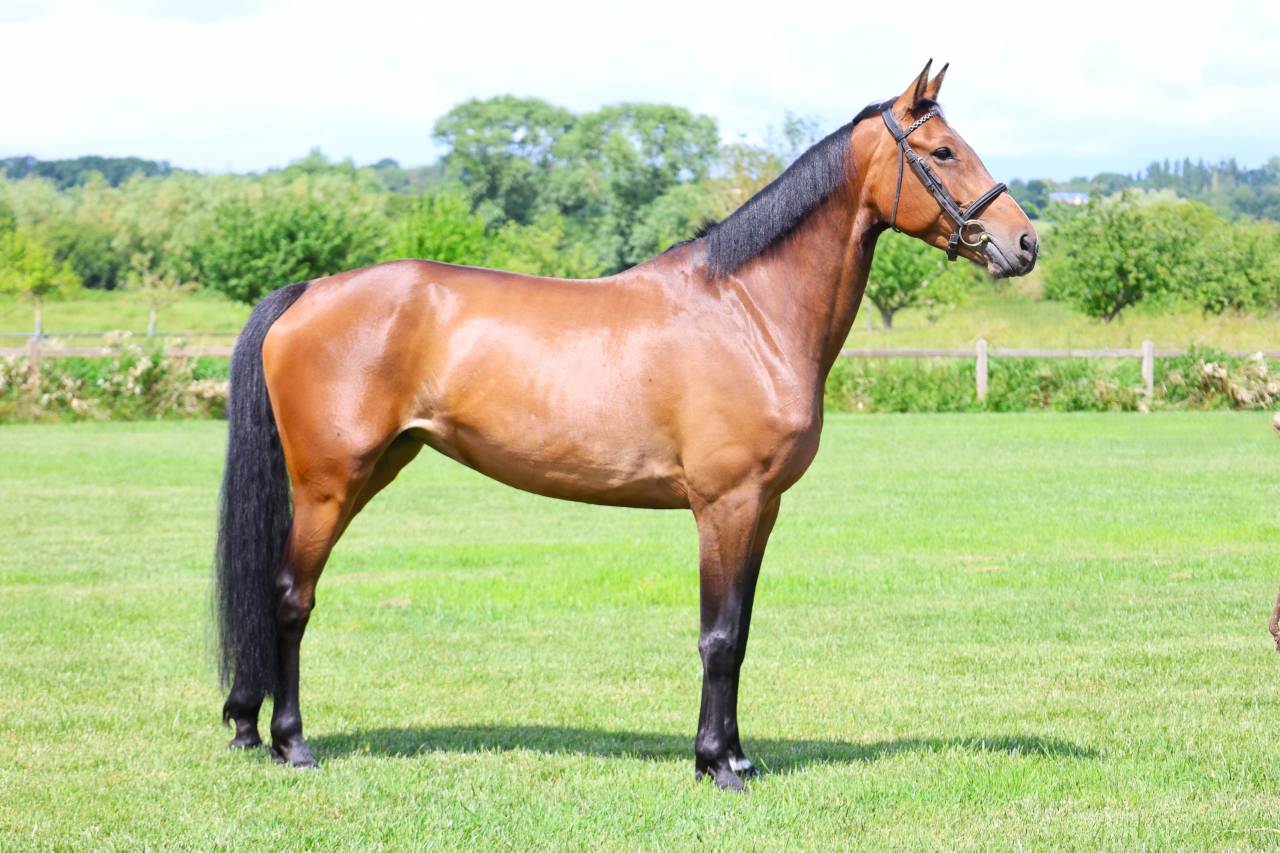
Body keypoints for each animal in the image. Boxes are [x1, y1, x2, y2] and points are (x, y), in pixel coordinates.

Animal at [214, 61, 1038, 789]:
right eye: (943, 151)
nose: (1025, 242)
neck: (749, 311)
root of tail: (309, 290)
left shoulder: (762, 507)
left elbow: (741, 632)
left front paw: (738, 756)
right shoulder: (724, 505)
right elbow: (718, 636)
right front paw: (715, 764)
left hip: (378, 466)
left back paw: (249, 724)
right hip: (329, 485)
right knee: (289, 596)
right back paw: (291, 744)